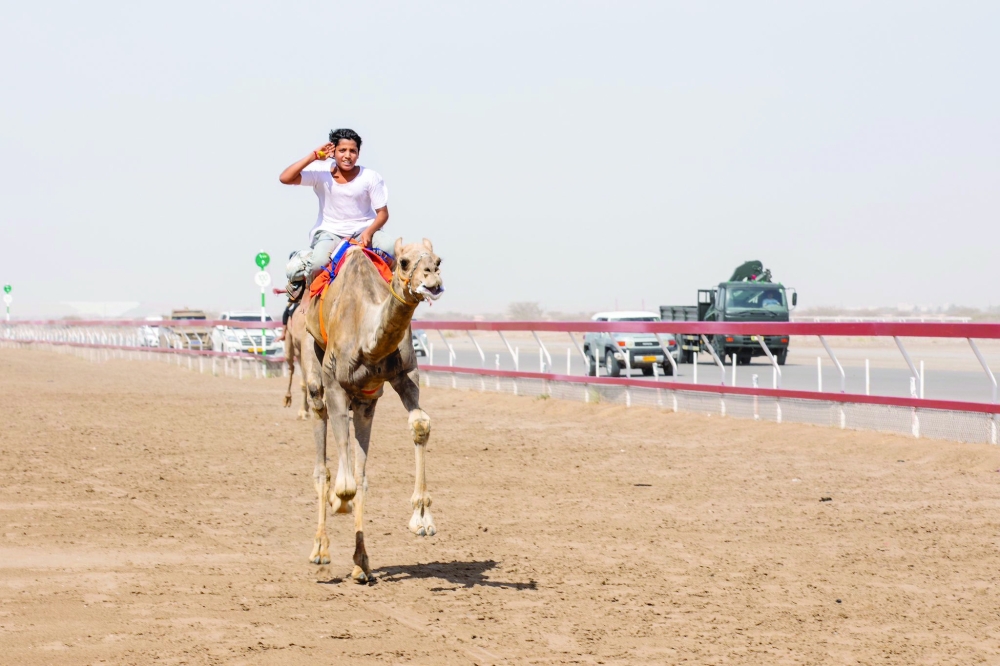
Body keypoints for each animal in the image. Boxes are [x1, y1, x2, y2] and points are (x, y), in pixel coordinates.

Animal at [304, 238, 443, 583]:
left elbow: (420, 424)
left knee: (360, 473)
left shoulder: (401, 376)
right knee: (321, 458)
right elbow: (344, 484)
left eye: (438, 261)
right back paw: (320, 551)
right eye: (404, 262)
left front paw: (422, 518)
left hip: (366, 402)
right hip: (314, 368)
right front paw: (338, 501)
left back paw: (361, 565)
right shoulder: (336, 385)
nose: (432, 281)